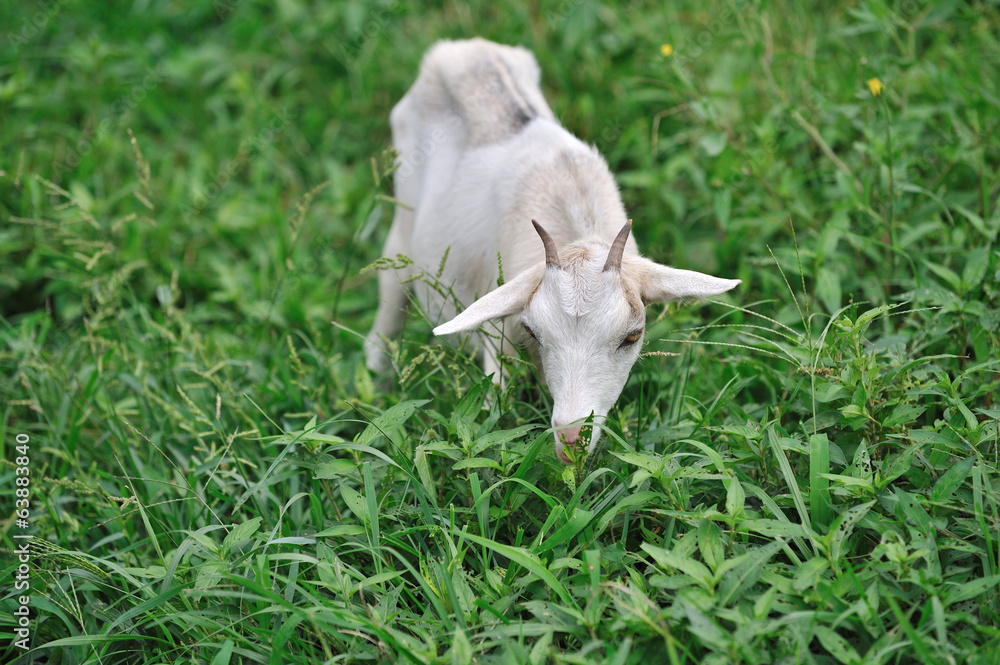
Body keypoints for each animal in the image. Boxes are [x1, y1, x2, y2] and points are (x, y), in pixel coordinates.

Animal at [364, 37, 740, 462]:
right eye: (533, 331)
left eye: (632, 336)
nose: (572, 440)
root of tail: (461, 48)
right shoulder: (498, 329)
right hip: (402, 227)